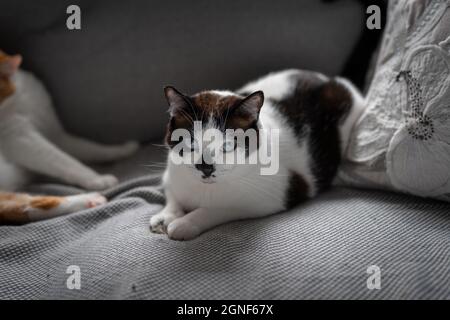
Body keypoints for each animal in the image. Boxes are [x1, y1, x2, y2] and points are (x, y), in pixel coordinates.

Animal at [0, 50, 137, 225]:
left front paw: (123, 149)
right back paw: (90, 199)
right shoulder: (18, 137)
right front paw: (97, 178)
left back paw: (89, 201)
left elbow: (90, 148)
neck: (17, 100)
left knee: (22, 206)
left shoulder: (57, 135)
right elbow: (63, 160)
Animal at [151, 70, 366, 240]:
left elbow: (218, 208)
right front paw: (167, 215)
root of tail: (326, 78)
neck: (204, 190)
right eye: (191, 143)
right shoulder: (171, 174)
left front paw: (185, 223)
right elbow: (173, 194)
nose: (205, 167)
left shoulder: (265, 199)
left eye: (228, 145)